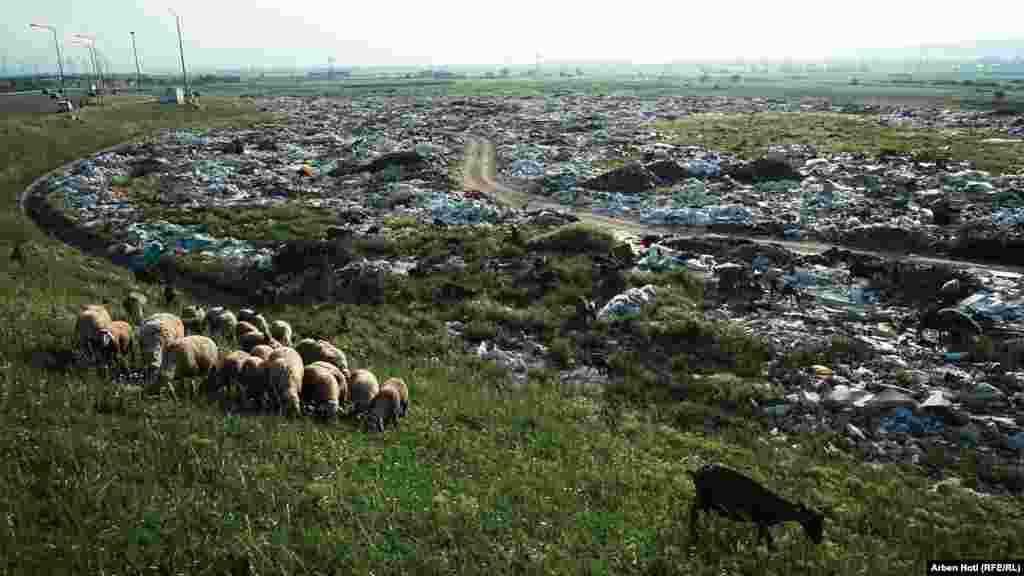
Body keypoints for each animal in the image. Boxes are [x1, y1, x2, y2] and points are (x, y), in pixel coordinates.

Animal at [684, 461, 827, 545]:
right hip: (703, 498)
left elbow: (764, 540)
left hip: (706, 502)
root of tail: (697, 472)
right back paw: (694, 535)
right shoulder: (762, 522)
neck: (778, 507)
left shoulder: (761, 524)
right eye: (815, 522)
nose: (819, 540)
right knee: (693, 511)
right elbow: (768, 542)